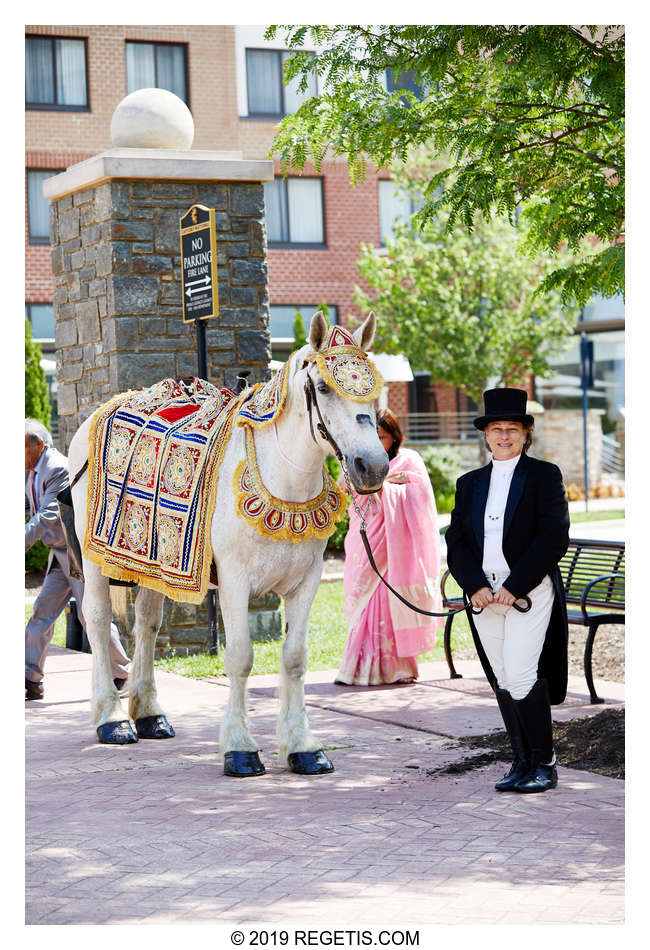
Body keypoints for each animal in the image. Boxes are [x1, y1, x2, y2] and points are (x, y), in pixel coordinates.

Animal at [68, 310, 388, 772]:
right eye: (325, 387)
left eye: (376, 388)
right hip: (94, 559)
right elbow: (240, 657)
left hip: (153, 565)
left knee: (147, 625)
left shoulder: (305, 582)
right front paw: (239, 747)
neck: (282, 479)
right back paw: (111, 719)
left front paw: (302, 746)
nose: (373, 467)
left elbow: (295, 658)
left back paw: (149, 714)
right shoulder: (236, 581)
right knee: (96, 621)